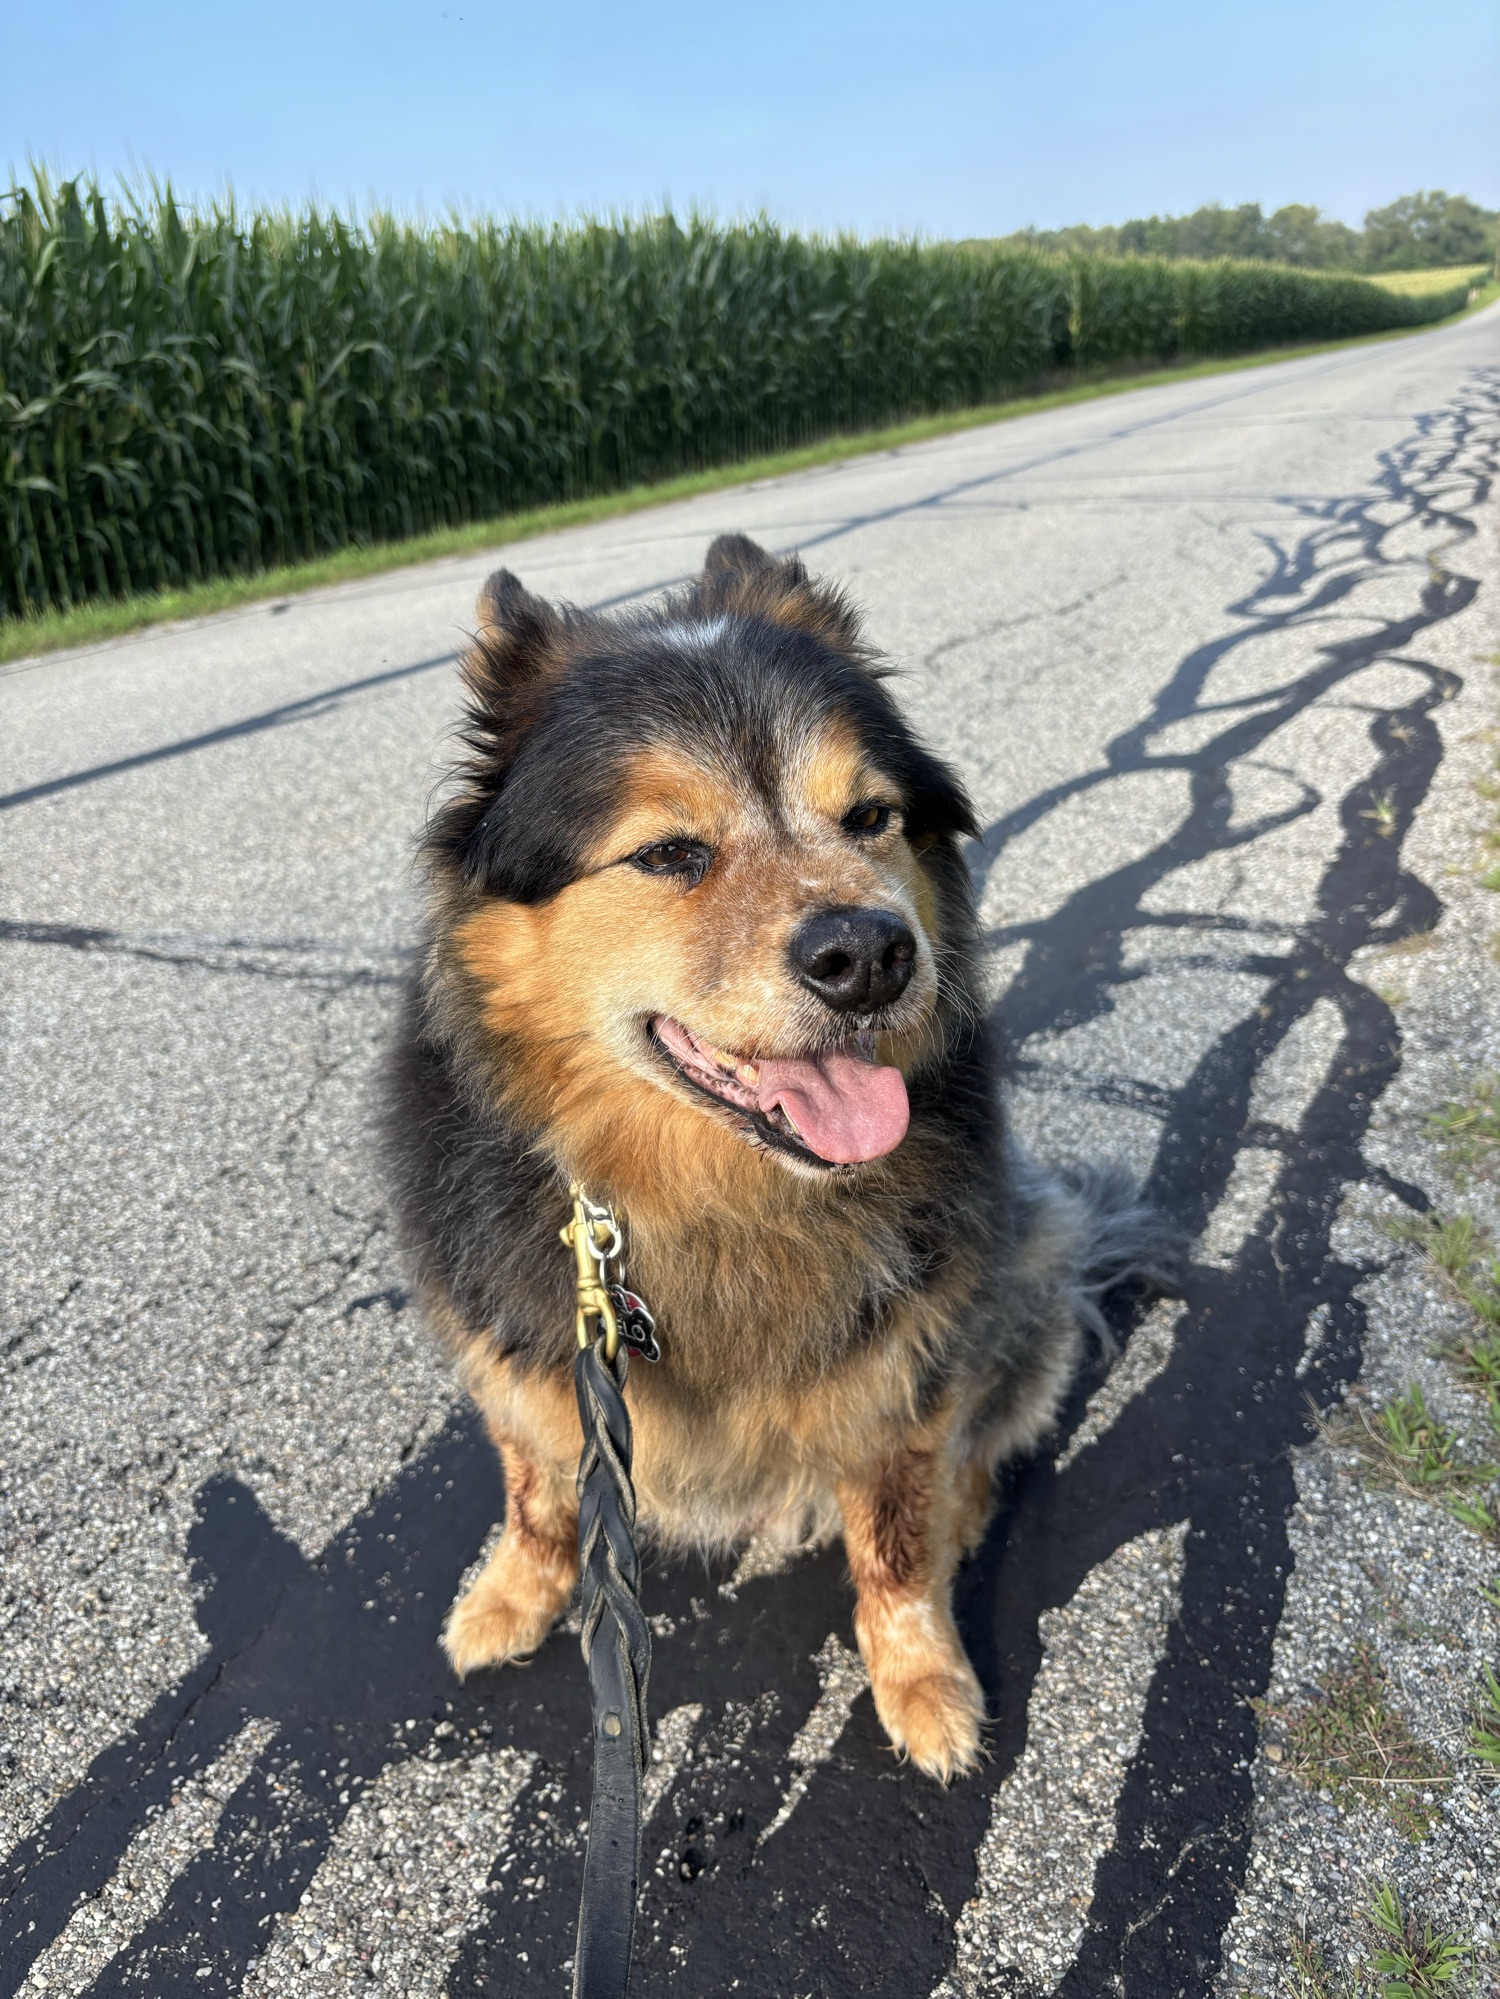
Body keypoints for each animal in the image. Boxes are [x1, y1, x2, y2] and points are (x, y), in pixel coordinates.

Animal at [381, 533, 1167, 1780]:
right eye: (668, 853)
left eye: (869, 817)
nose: (872, 956)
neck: (716, 1194)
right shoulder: (522, 1348)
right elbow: (534, 1487)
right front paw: (511, 1595)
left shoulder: (903, 1360)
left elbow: (892, 1543)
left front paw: (923, 1680)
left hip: (1023, 1267)